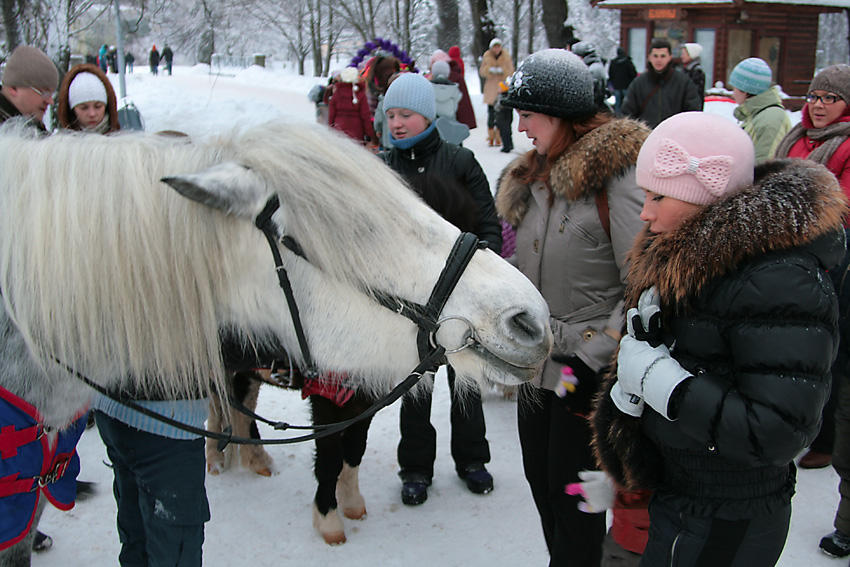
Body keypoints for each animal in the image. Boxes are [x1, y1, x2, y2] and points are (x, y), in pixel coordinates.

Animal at [0, 121, 548, 567]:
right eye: (354, 230)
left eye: (475, 226)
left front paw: (351, 503)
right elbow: (328, 459)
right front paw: (329, 520)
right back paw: (220, 457)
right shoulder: (331, 399)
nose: (530, 321)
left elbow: (352, 451)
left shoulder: (360, 399)